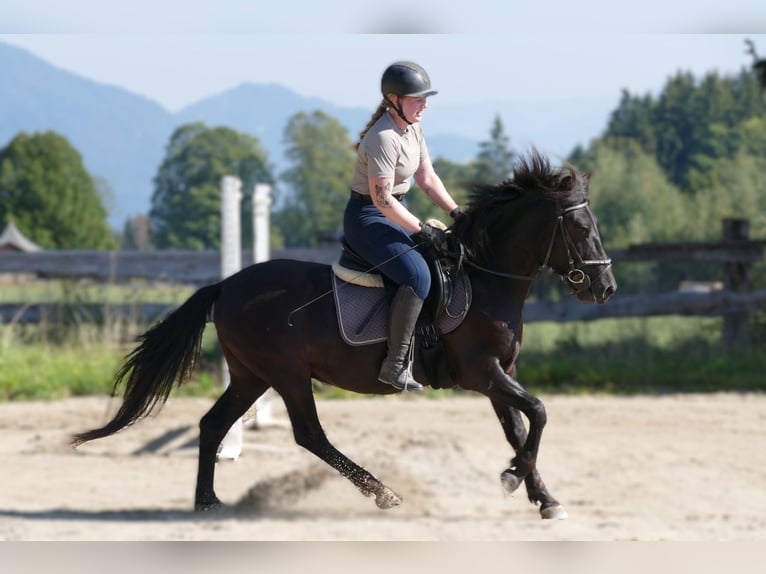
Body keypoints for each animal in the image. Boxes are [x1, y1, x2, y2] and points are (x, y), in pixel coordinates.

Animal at [71, 150, 616, 520]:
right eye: (580, 228)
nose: (605, 287)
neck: (486, 280)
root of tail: (226, 285)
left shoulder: (501, 372)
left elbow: (521, 429)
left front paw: (542, 497)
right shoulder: (482, 372)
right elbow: (539, 413)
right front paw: (510, 477)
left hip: (251, 375)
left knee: (212, 424)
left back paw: (208, 502)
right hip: (287, 374)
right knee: (308, 433)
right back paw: (382, 492)